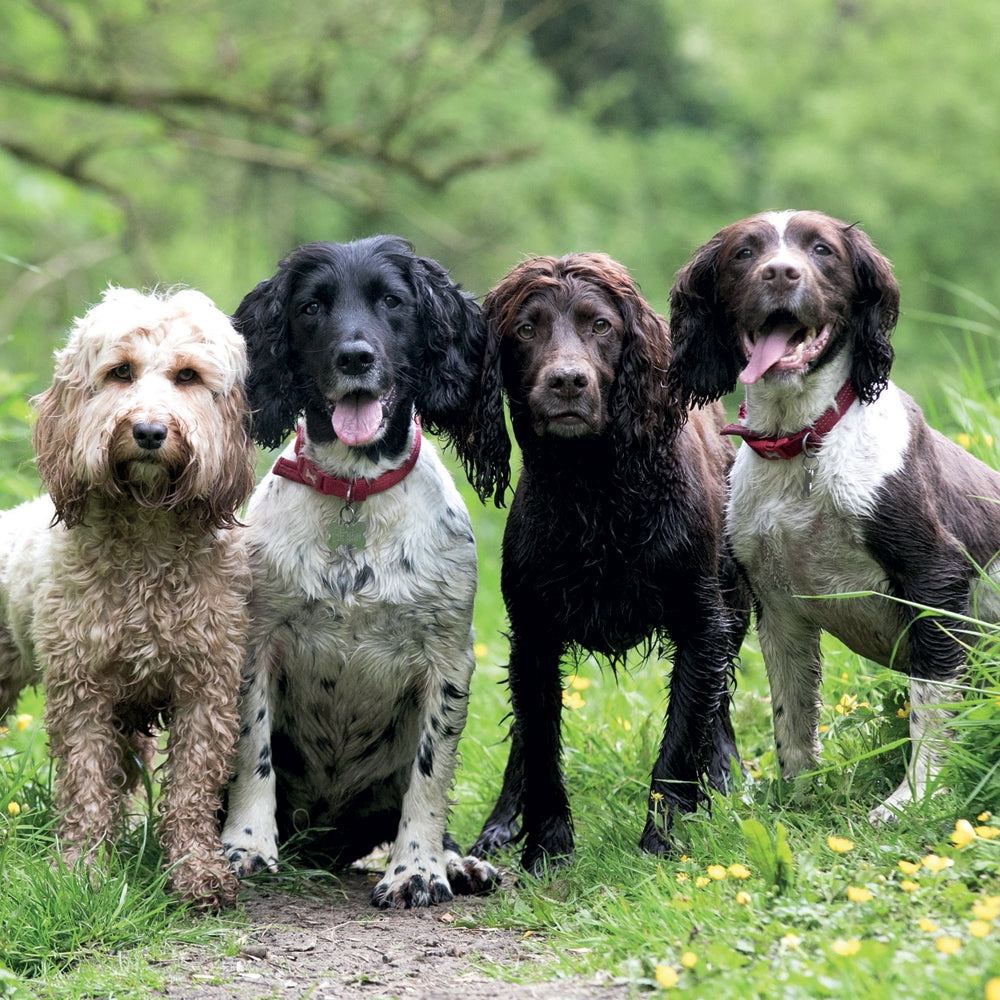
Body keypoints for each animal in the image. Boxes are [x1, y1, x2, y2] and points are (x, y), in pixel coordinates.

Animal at [0, 288, 254, 908]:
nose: (149, 432)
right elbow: (87, 786)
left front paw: (196, 870)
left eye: (187, 376)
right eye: (120, 372)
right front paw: (82, 870)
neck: (146, 537)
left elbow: (190, 788)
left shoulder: (207, 688)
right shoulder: (82, 692)